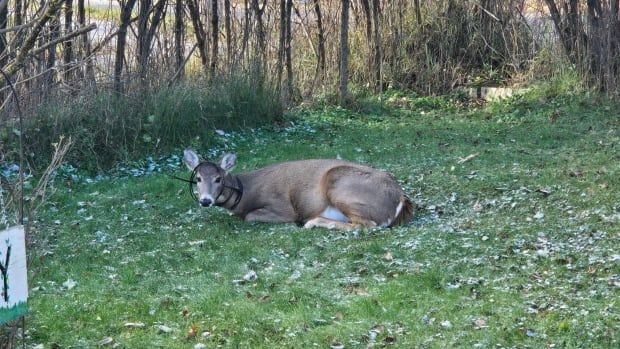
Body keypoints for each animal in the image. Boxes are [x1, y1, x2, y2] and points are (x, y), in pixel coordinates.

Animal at [184, 148, 416, 230]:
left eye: (218, 178)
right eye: (198, 178)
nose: (205, 200)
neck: (246, 193)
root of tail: (400, 198)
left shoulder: (284, 207)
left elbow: (250, 217)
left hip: (340, 184)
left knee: (365, 225)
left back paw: (313, 222)